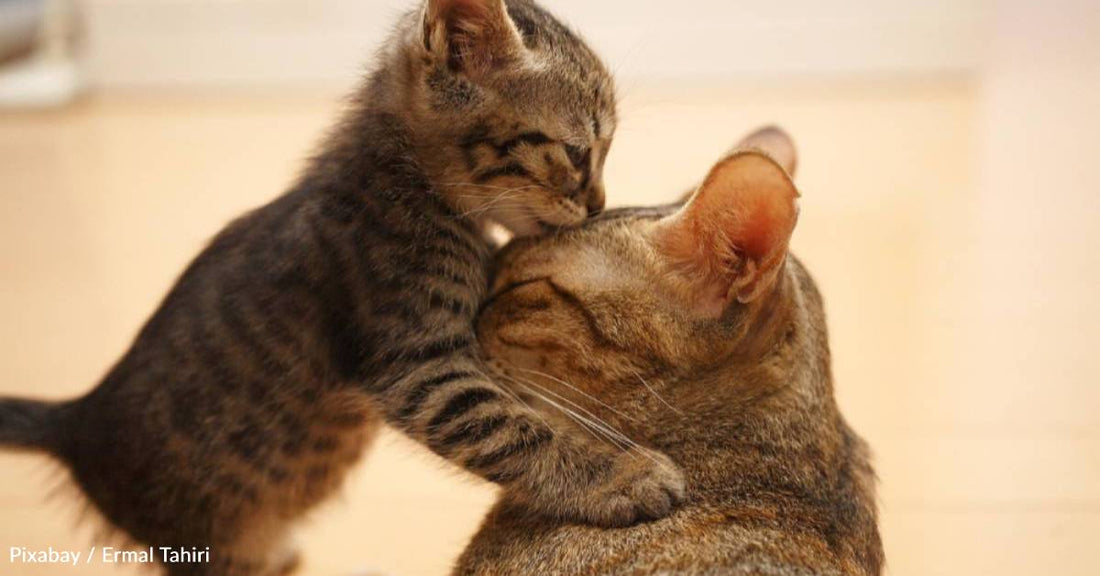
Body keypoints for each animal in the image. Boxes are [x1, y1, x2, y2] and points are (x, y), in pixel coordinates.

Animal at [0, 1, 686, 576]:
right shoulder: (415, 365)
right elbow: (514, 430)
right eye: (577, 153)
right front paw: (622, 475)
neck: (409, 186)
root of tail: (79, 420)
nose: (598, 204)